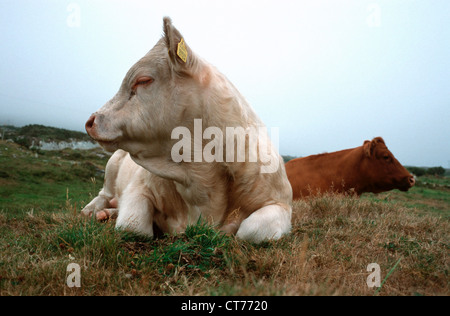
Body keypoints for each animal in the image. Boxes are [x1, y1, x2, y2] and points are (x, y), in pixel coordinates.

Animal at [81, 17, 292, 243]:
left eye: (143, 80)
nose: (91, 121)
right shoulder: (138, 186)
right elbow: (133, 226)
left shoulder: (281, 204)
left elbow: (250, 230)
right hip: (112, 165)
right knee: (104, 194)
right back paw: (95, 210)